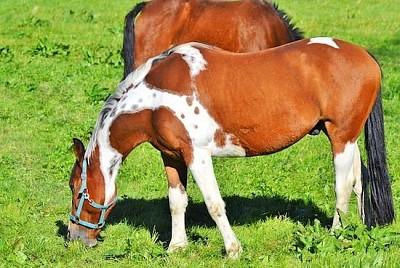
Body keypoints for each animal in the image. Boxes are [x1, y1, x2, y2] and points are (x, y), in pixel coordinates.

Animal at [68, 37, 394, 258]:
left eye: (76, 190)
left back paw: (336, 234)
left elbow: (214, 203)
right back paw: (357, 230)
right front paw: (177, 246)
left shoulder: (197, 155)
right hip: (346, 138)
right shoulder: (172, 156)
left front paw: (233, 249)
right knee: (358, 180)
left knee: (343, 186)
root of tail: (365, 55)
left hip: (341, 138)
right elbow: (176, 202)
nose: (74, 238)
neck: (154, 99)